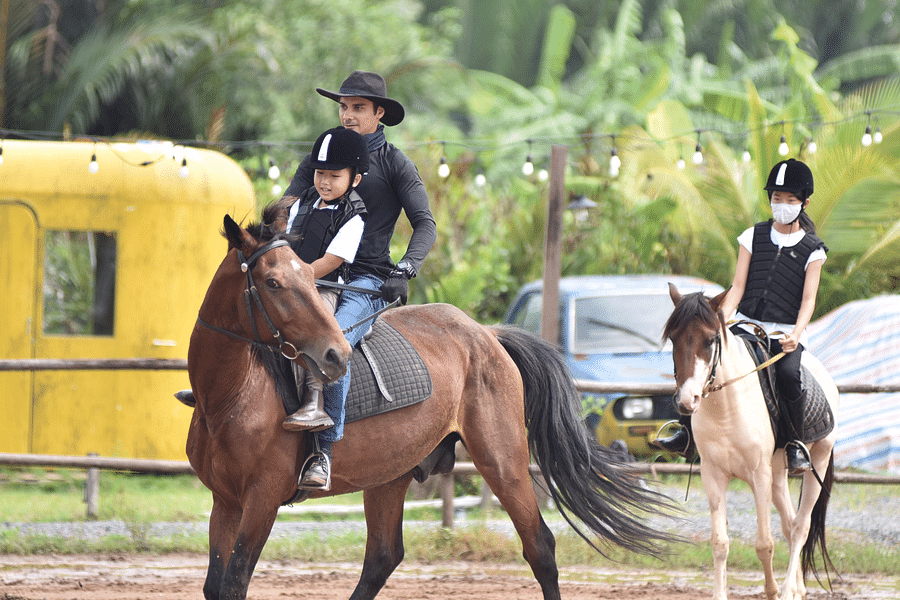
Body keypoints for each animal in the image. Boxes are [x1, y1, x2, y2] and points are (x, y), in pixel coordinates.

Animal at [185, 212, 681, 600]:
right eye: (272, 282)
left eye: (308, 277)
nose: (335, 355)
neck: (229, 397)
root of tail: (485, 333)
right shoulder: (225, 502)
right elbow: (215, 585)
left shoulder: (262, 499)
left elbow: (234, 583)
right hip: (390, 475)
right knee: (382, 558)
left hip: (503, 462)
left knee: (540, 546)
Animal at [663, 284, 838, 600]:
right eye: (673, 338)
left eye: (710, 340)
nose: (686, 400)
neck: (726, 408)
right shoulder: (713, 475)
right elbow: (720, 543)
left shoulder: (758, 475)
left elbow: (764, 543)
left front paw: (772, 591)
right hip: (778, 473)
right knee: (789, 523)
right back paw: (797, 589)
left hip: (817, 460)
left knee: (800, 527)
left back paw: (786, 590)